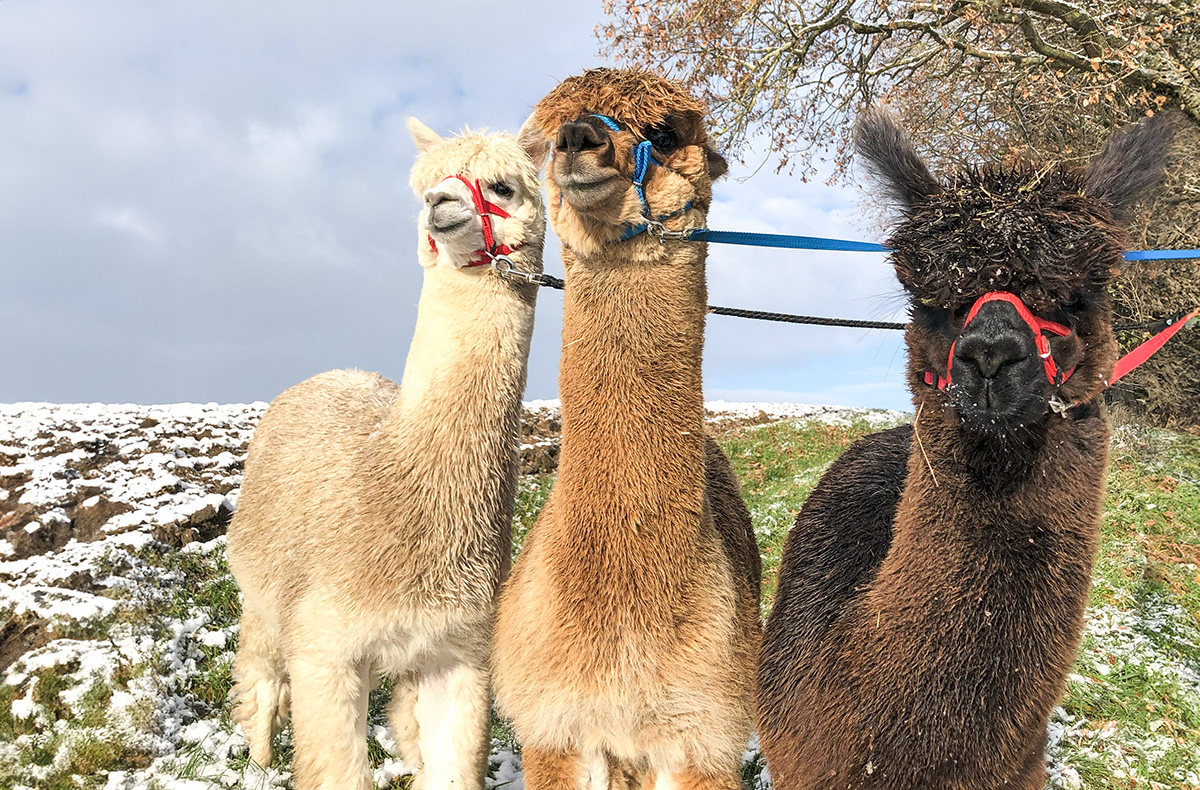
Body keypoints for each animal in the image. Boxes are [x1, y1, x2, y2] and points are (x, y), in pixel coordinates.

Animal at [225, 118, 548, 790]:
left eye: (501, 186)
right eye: (426, 185)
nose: (439, 205)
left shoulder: (460, 653)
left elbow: (452, 768)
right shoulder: (325, 644)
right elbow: (336, 769)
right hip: (262, 592)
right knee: (261, 675)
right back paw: (261, 759)